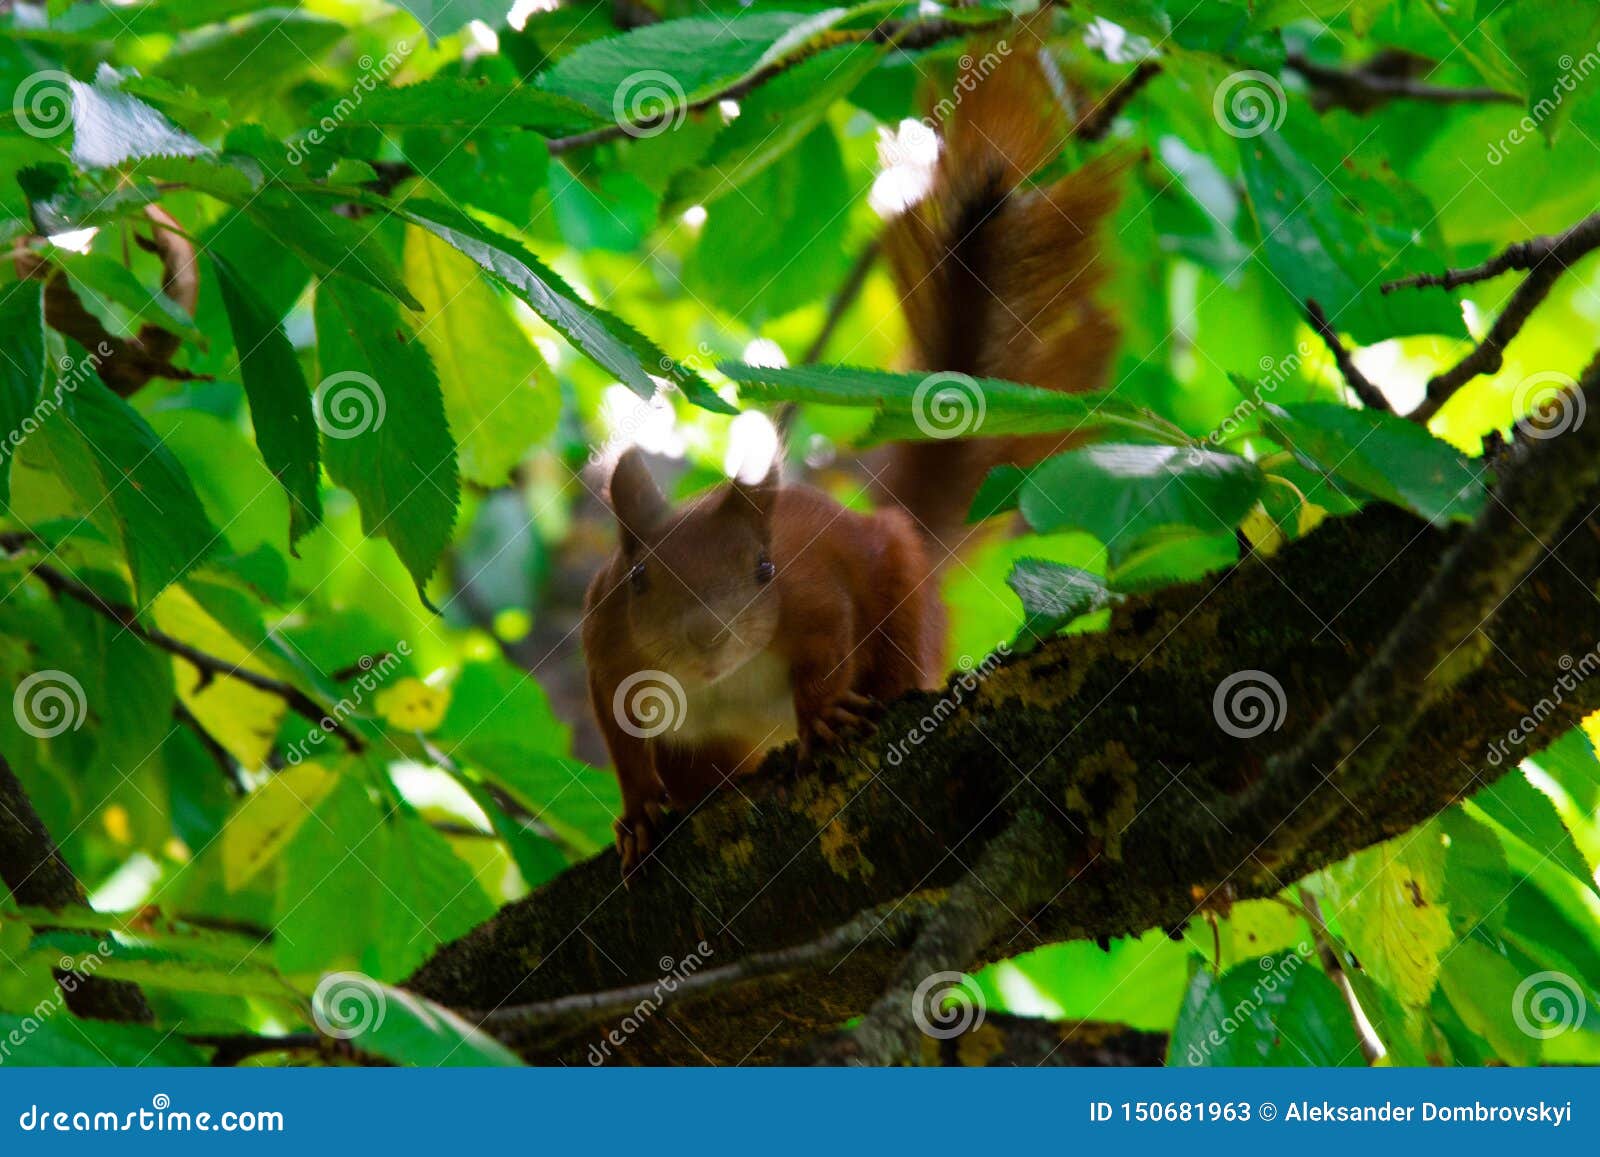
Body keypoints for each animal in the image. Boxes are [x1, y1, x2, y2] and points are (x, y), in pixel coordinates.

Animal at [584, 44, 1121, 876]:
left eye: (764, 568)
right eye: (639, 578)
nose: (706, 640)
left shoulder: (813, 595)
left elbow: (827, 644)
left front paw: (827, 715)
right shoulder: (605, 646)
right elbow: (620, 741)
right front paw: (639, 814)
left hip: (902, 585)